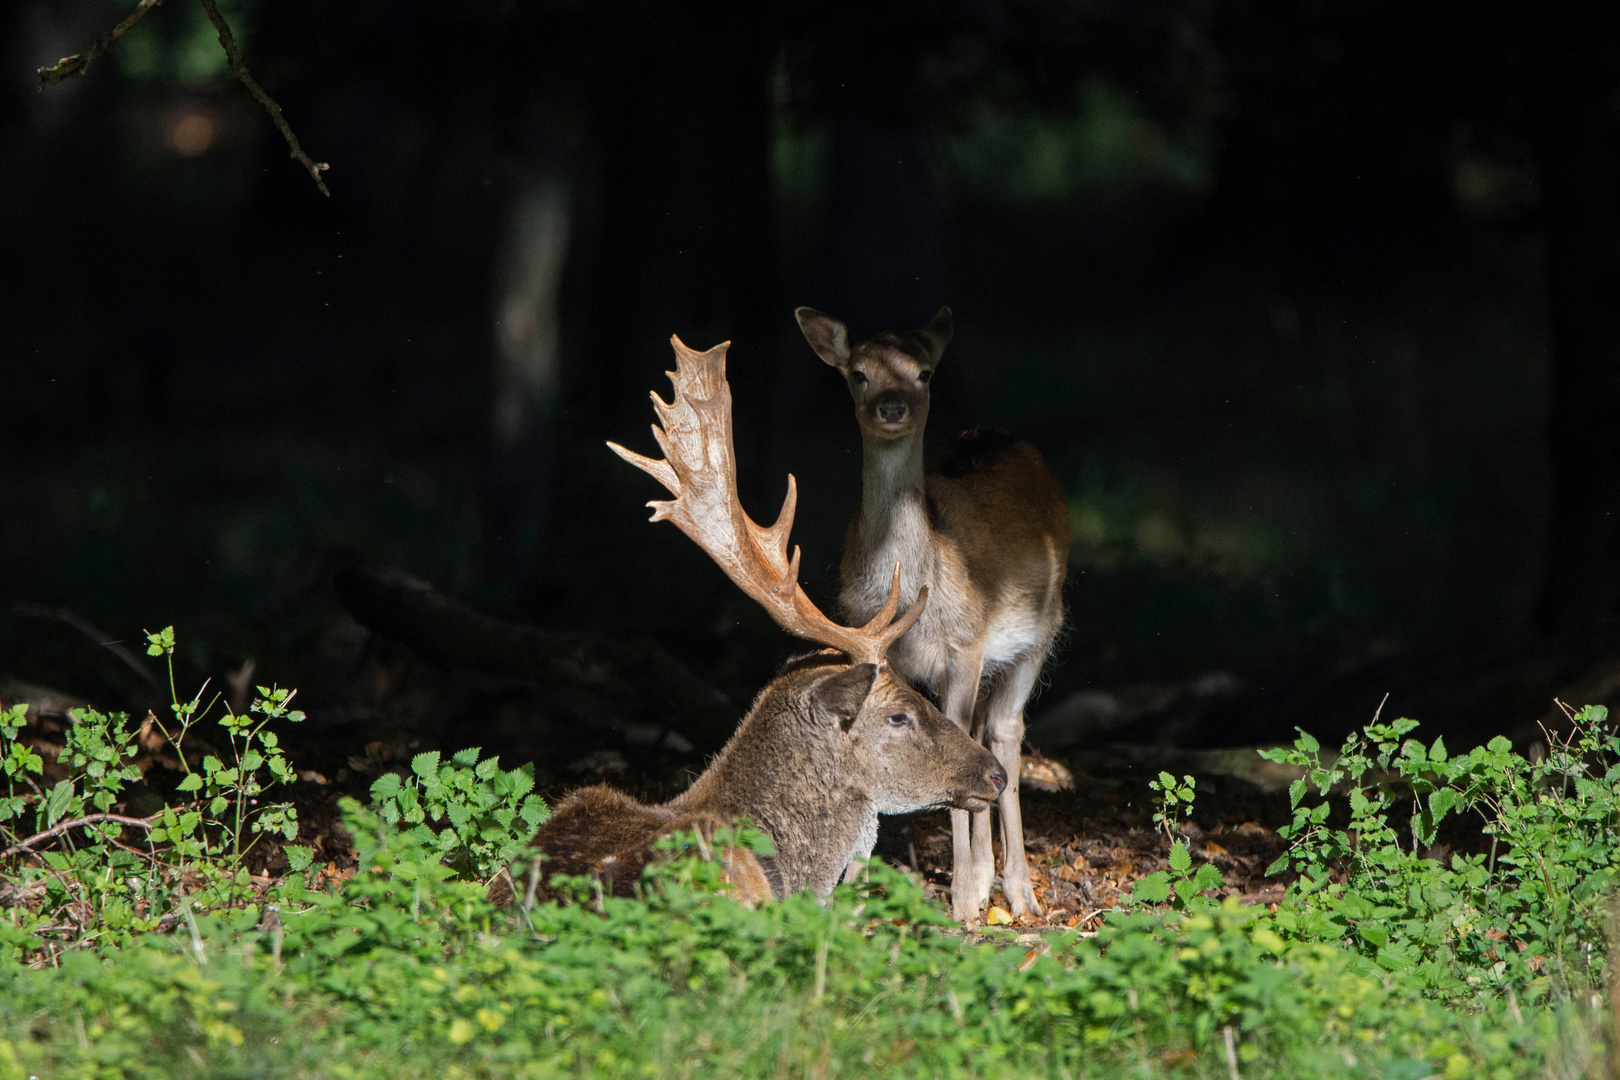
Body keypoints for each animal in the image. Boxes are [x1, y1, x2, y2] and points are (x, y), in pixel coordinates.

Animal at [800, 306, 1075, 919]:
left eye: (923, 372)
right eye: (859, 373)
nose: (891, 406)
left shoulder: (967, 642)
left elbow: (959, 735)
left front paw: (966, 895)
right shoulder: (887, 653)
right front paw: (856, 882)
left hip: (1041, 632)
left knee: (1003, 729)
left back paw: (1017, 889)